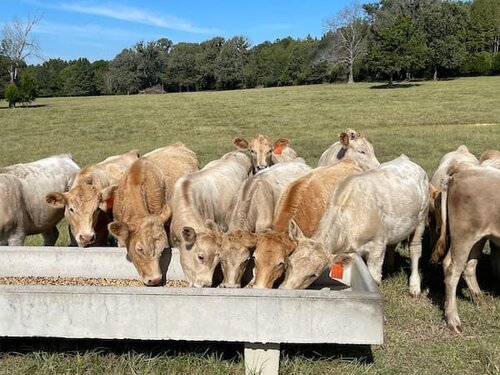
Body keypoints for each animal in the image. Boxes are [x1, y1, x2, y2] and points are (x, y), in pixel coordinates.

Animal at [434, 163, 500, 334]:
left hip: (478, 237)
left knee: (468, 266)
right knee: (452, 270)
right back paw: (453, 320)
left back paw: (479, 300)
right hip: (464, 235)